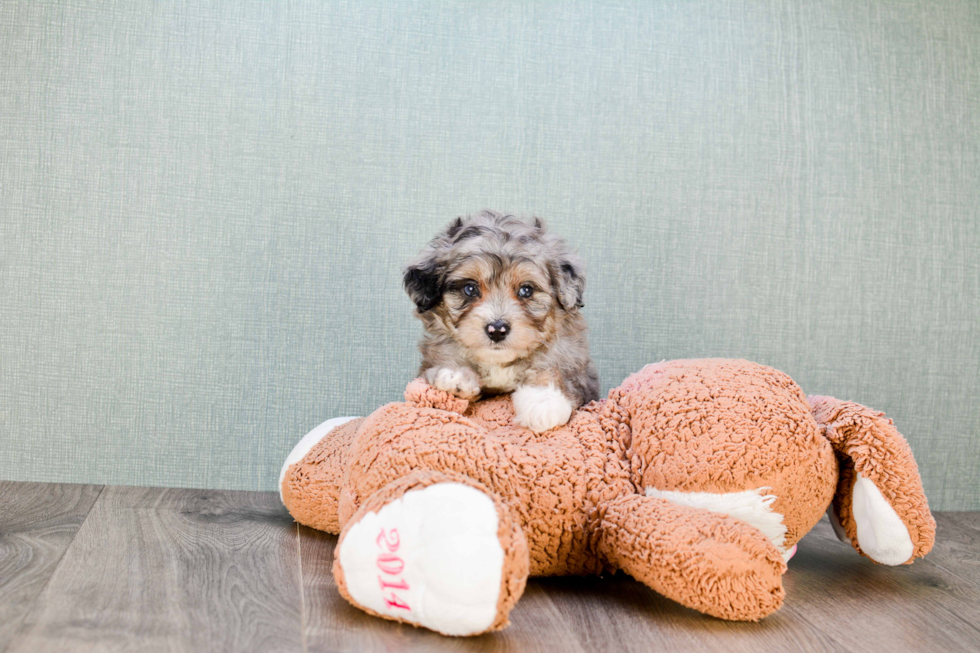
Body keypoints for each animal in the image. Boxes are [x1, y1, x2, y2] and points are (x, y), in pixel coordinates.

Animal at [402, 211, 600, 430]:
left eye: (526, 290)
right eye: (470, 289)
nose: (497, 330)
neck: (499, 363)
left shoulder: (575, 364)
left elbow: (558, 371)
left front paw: (543, 400)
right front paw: (454, 374)